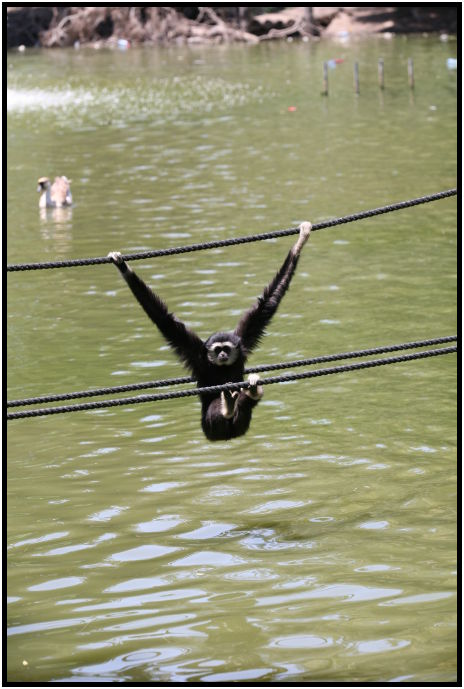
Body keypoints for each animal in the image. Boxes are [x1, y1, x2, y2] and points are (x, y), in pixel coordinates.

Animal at [108, 221, 311, 441]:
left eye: (226, 349)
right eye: (217, 350)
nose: (222, 355)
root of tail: (228, 436)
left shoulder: (242, 340)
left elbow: (268, 303)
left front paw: (300, 242)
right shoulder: (195, 352)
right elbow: (162, 318)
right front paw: (123, 267)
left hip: (239, 424)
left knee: (244, 403)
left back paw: (249, 394)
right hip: (209, 426)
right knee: (217, 406)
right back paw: (228, 407)